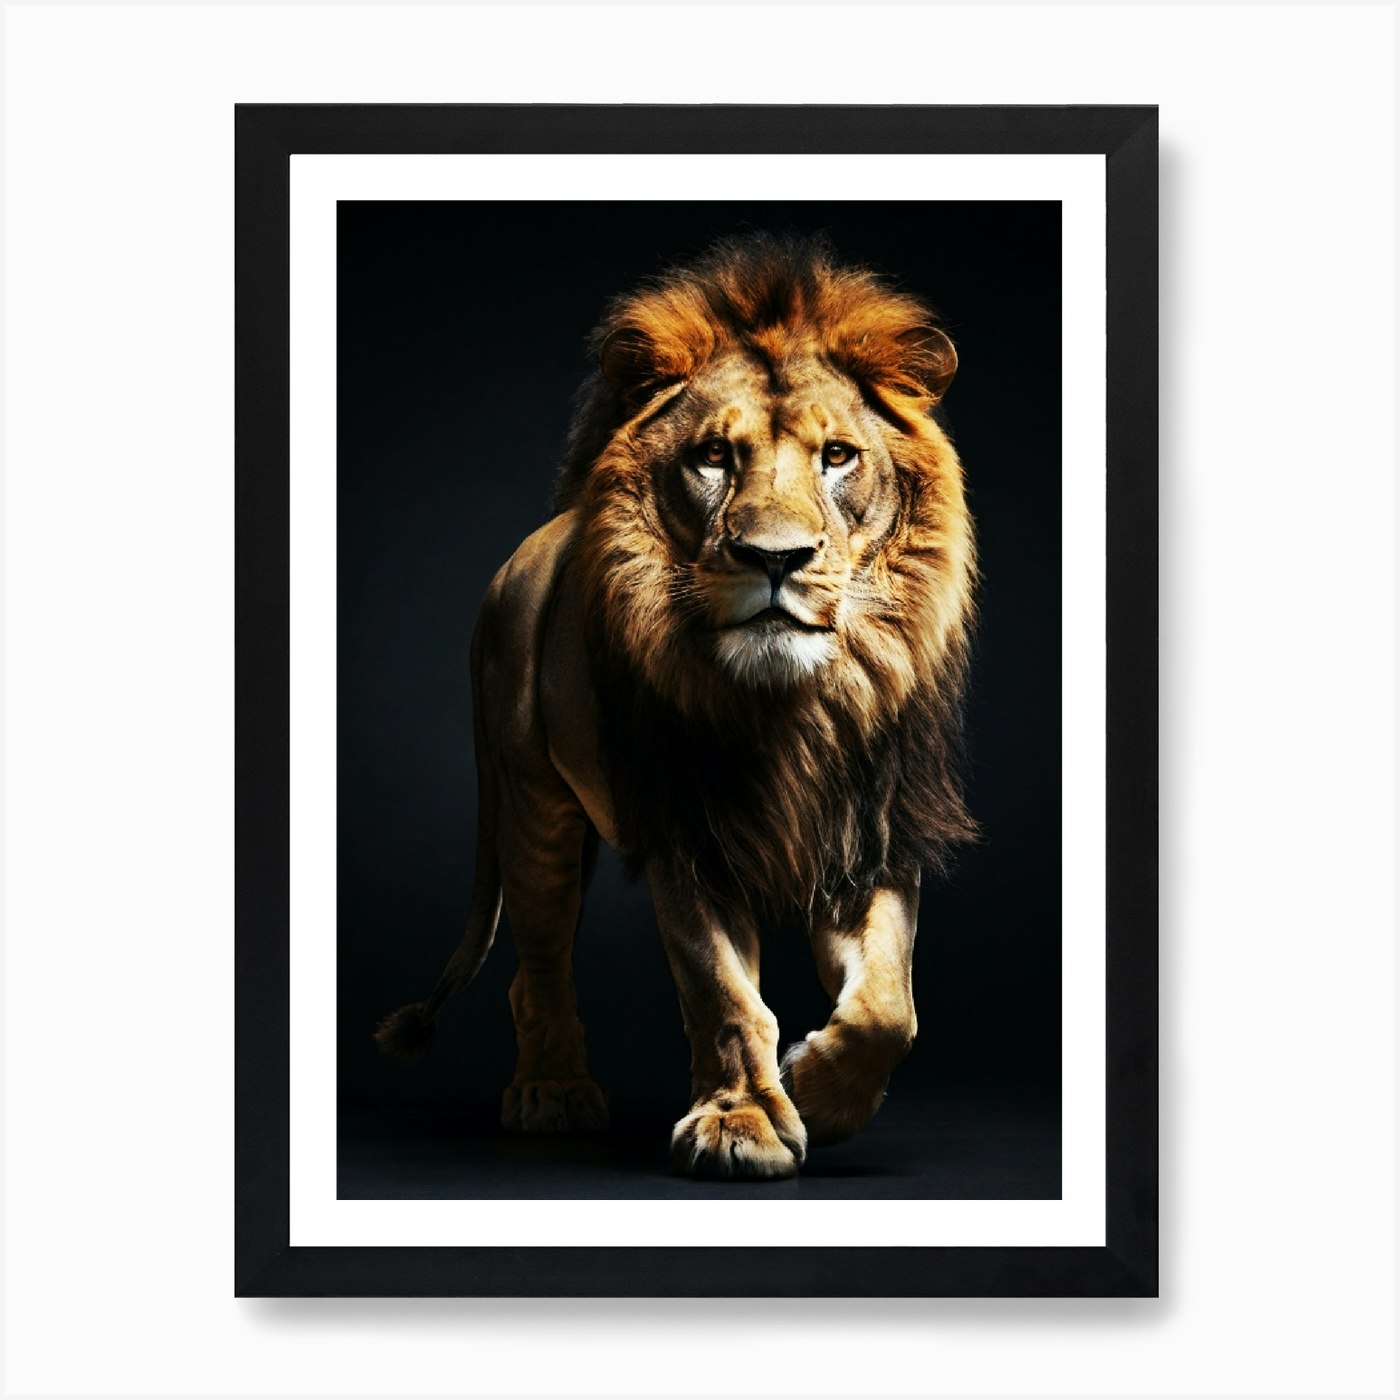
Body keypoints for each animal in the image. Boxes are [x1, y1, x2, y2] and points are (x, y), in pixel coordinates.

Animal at [375, 233, 977, 1180]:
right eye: (715, 457)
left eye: (838, 456)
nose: (776, 557)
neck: (788, 706)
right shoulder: (687, 834)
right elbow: (721, 992)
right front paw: (743, 1122)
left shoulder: (873, 826)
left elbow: (889, 1004)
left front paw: (820, 1092)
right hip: (533, 813)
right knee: (536, 968)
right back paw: (553, 1094)